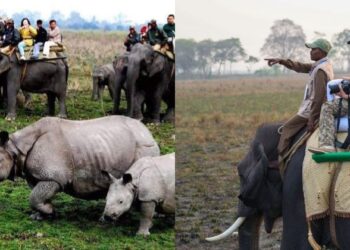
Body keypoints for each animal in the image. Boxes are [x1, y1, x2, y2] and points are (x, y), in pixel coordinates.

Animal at [0, 116, 160, 220]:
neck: (14, 148)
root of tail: (148, 133)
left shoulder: (54, 178)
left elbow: (34, 197)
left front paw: (50, 212)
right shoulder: (36, 175)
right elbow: (36, 196)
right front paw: (40, 216)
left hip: (143, 147)